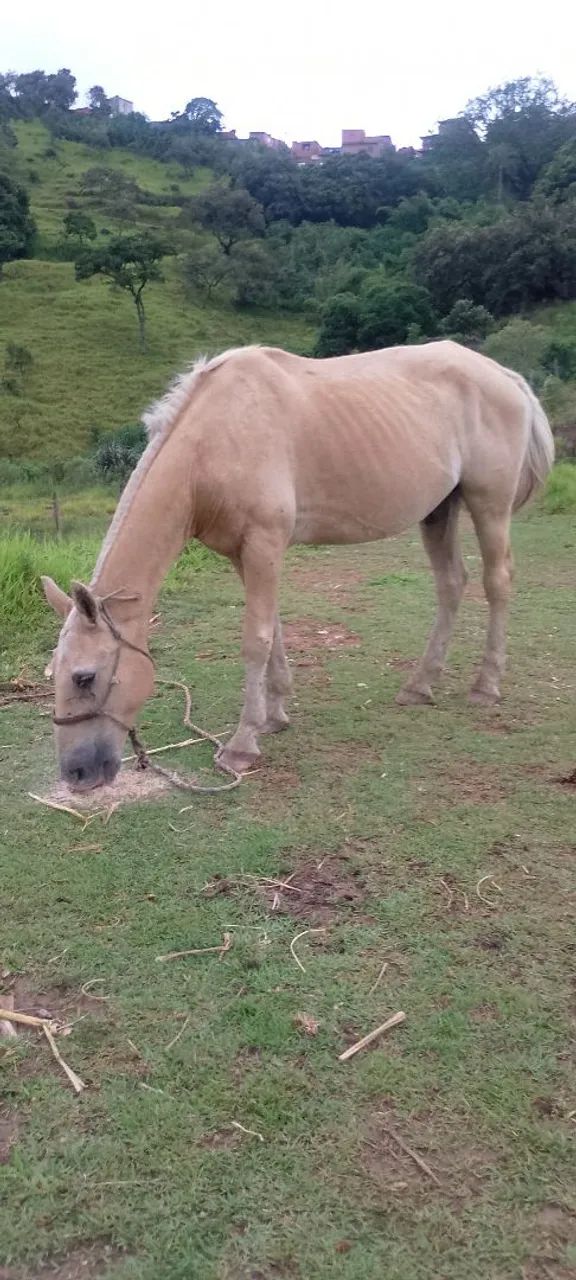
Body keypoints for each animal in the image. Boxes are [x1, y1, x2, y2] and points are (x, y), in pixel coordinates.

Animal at [42, 340, 554, 792]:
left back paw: (486, 686)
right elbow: (274, 629)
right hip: (439, 511)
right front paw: (274, 716)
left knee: (496, 582)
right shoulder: (244, 553)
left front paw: (242, 744)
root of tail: (505, 376)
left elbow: (256, 639)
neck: (215, 441)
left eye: (84, 677)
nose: (76, 775)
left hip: (489, 505)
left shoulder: (264, 544)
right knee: (451, 584)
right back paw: (420, 685)